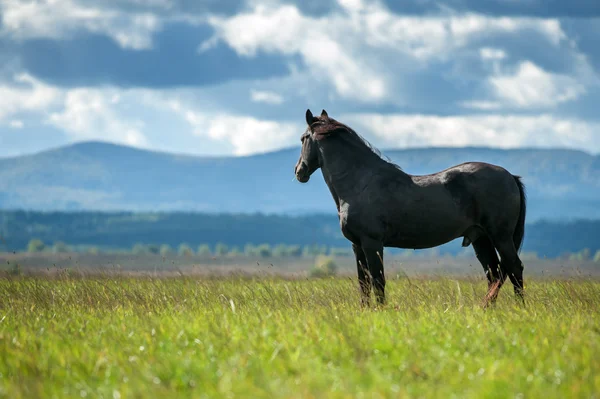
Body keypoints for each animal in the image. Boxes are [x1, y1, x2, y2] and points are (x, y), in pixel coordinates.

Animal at [296, 109, 524, 306]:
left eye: (303, 138)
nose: (299, 171)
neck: (360, 183)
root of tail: (510, 176)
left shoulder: (372, 243)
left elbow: (378, 281)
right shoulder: (357, 245)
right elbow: (364, 283)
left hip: (500, 236)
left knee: (514, 268)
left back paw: (519, 308)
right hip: (480, 238)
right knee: (494, 274)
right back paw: (486, 308)